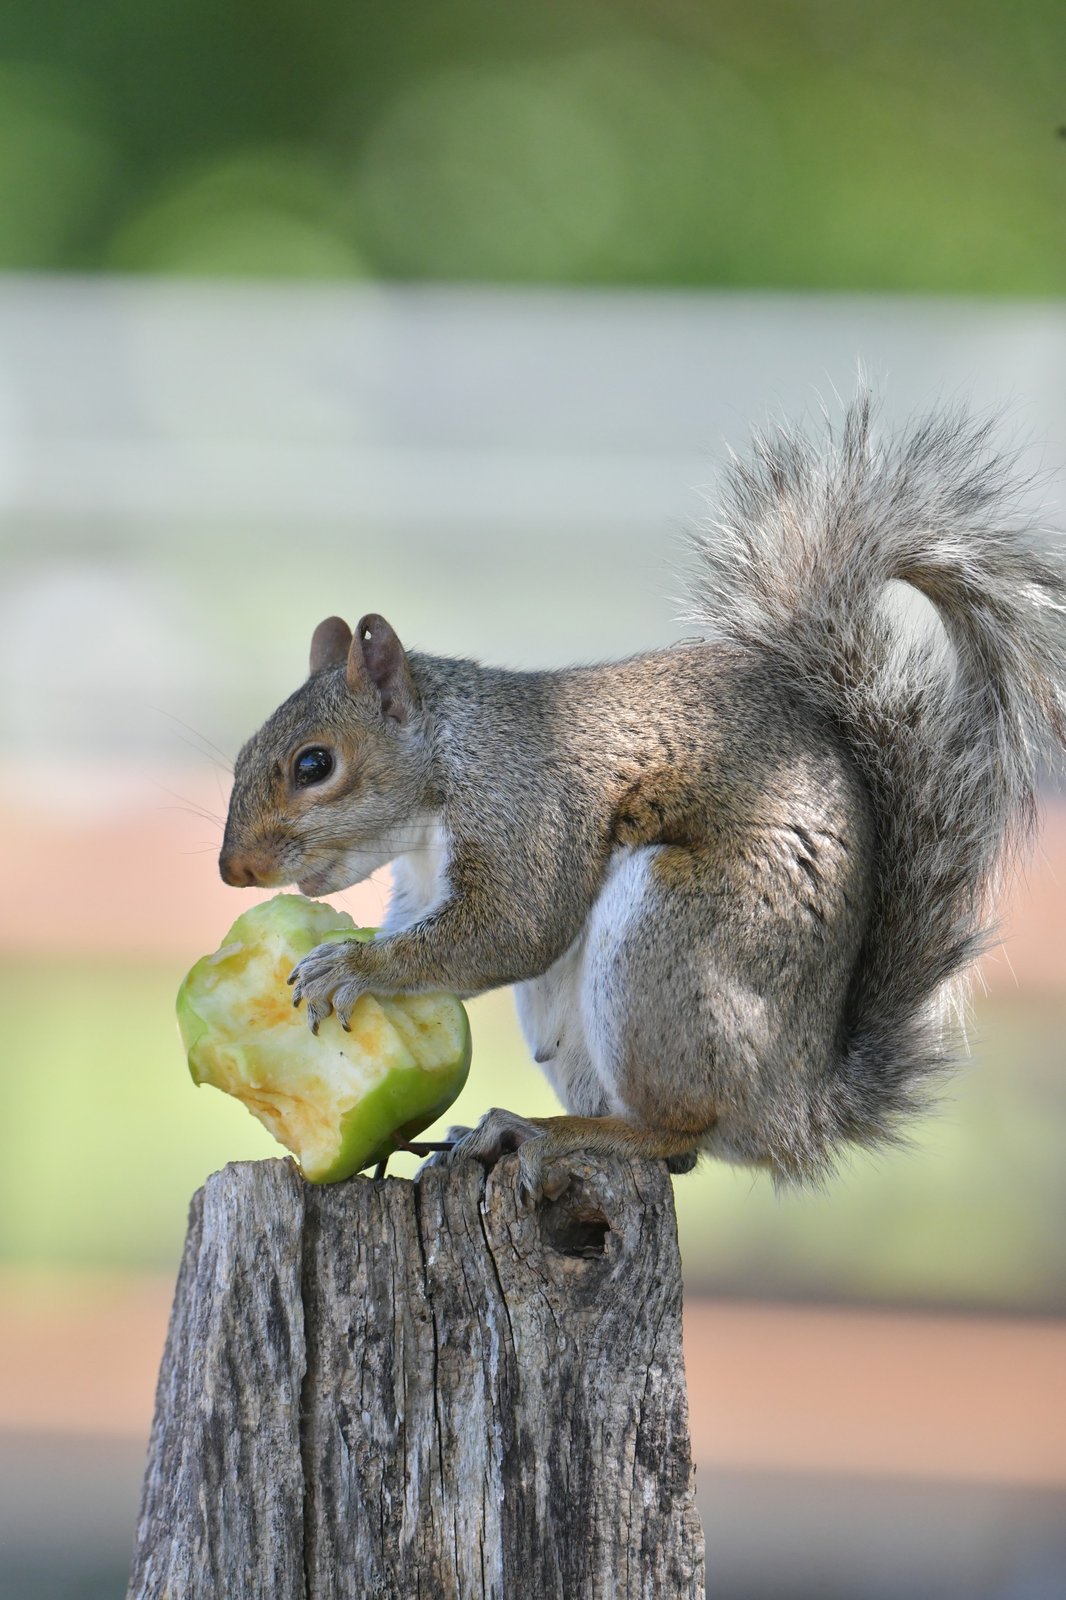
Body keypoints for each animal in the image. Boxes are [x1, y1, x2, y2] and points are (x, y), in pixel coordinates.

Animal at [219, 395, 1066, 1203]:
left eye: (315, 763)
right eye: (244, 750)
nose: (234, 871)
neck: (444, 774)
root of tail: (798, 1111)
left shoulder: (523, 809)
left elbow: (515, 928)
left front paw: (352, 965)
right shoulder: (424, 880)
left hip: (674, 947)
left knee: (679, 1132)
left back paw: (550, 1134)